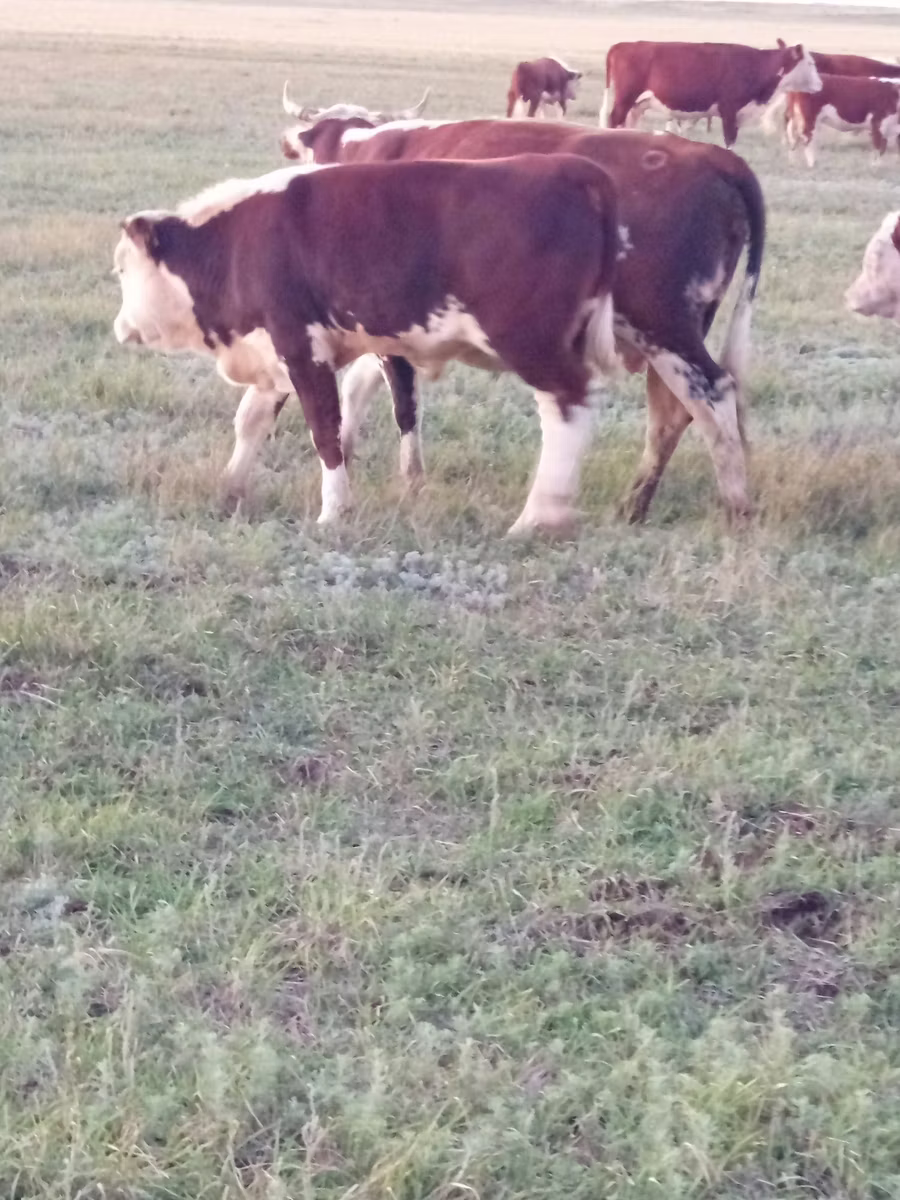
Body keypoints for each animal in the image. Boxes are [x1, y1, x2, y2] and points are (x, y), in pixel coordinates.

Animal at [112, 157, 620, 536]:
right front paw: (231, 487)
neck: (235, 243)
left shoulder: (302, 348)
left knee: (568, 407)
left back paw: (540, 515)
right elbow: (252, 422)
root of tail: (574, 170)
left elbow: (325, 431)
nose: (119, 327)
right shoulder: (277, 351)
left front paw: (334, 510)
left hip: (533, 344)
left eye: (121, 270)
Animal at [280, 116, 766, 524]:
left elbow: (402, 403)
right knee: (673, 411)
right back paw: (634, 506)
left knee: (713, 395)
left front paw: (407, 479)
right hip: (670, 336)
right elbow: (360, 386)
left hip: (662, 326)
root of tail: (712, 155)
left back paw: (734, 505)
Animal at [600, 39, 821, 147]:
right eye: (810, 63)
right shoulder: (729, 110)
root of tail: (623, 45)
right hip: (624, 99)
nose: (820, 85)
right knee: (614, 121)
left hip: (637, 104)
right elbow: (729, 142)